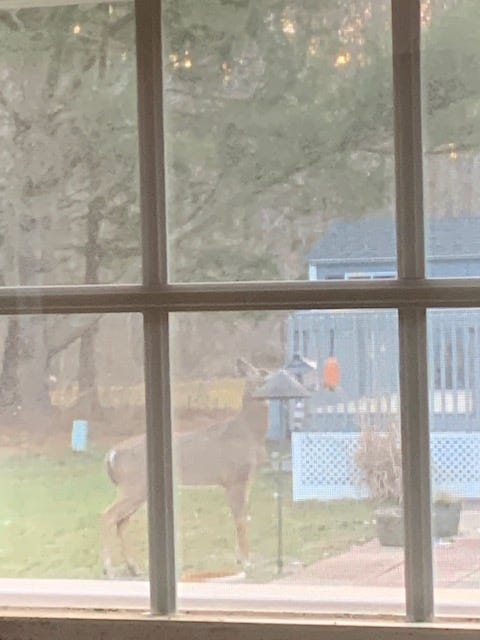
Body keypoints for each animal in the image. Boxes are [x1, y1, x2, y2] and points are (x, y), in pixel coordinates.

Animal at [101, 358, 270, 576]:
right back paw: (109, 569)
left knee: (121, 522)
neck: (250, 434)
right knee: (108, 516)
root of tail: (111, 454)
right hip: (133, 486)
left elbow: (241, 517)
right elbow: (240, 519)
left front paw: (240, 559)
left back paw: (134, 568)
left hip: (138, 490)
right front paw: (247, 562)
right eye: (263, 372)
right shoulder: (235, 478)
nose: (240, 360)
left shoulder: (246, 480)